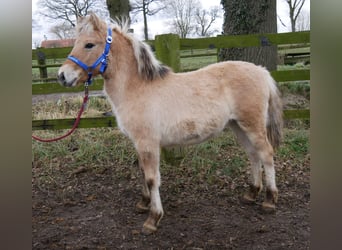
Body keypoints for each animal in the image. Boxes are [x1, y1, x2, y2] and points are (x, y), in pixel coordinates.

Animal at [58, 12, 284, 233]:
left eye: (89, 44)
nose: (62, 76)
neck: (137, 88)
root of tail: (262, 71)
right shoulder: (139, 144)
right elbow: (142, 172)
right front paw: (143, 203)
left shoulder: (148, 143)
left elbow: (152, 178)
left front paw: (153, 218)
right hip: (238, 125)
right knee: (253, 154)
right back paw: (251, 194)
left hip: (252, 125)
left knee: (266, 153)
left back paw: (269, 200)